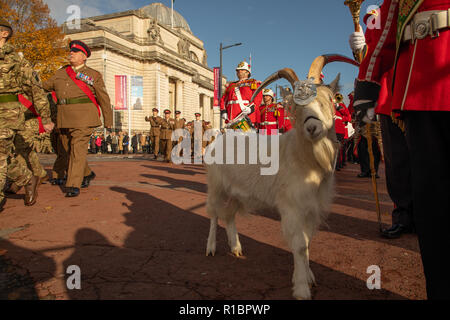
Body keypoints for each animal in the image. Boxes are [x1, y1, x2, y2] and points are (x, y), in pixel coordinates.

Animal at [205, 55, 358, 300]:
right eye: (295, 105)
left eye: (327, 100)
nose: (312, 127)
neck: (302, 157)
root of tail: (217, 138)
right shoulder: (292, 206)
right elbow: (299, 245)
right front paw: (302, 288)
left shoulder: (311, 207)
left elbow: (308, 243)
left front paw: (309, 277)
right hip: (216, 186)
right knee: (213, 214)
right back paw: (210, 248)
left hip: (239, 193)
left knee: (228, 215)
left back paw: (236, 248)